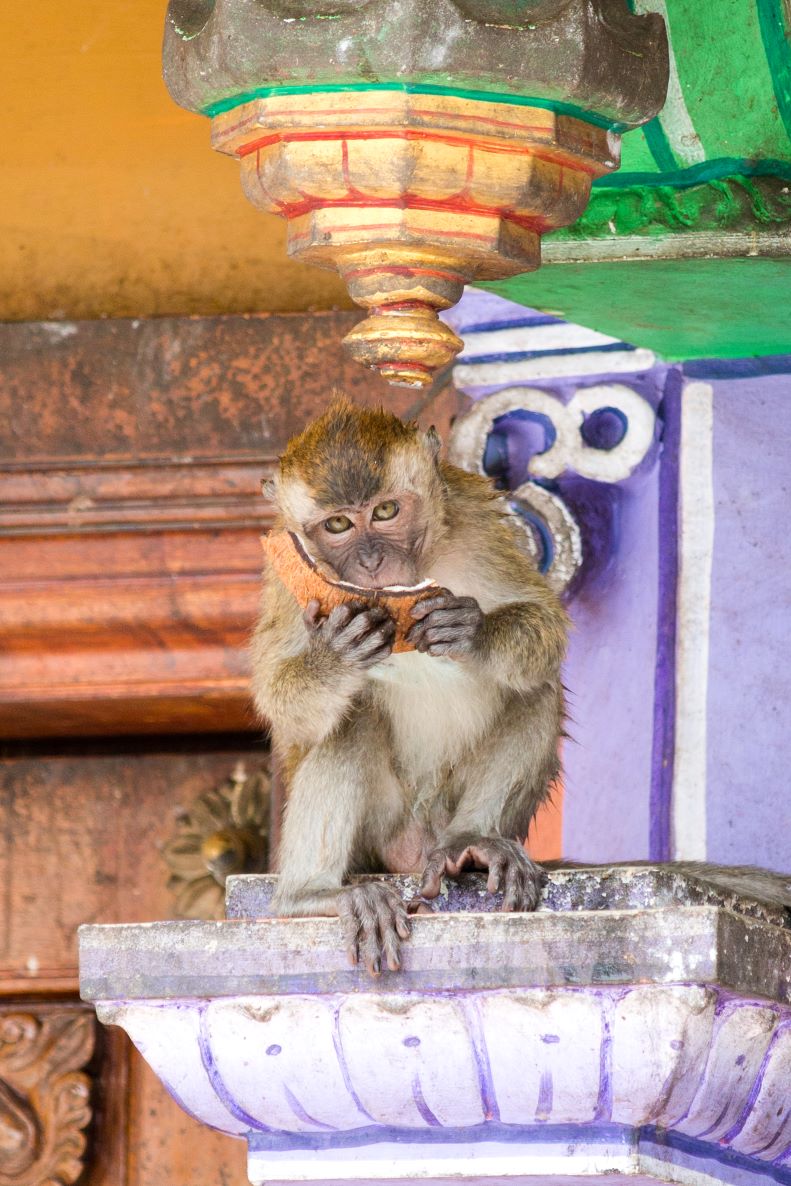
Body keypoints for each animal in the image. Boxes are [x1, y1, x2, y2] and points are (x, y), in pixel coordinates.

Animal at [251, 397, 569, 975]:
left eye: (385, 513)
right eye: (337, 524)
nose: (373, 561)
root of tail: (415, 848)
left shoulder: (476, 516)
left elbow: (545, 621)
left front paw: (470, 631)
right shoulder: (286, 574)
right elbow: (278, 692)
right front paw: (338, 652)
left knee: (534, 685)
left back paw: (474, 841)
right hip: (382, 830)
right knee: (351, 716)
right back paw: (313, 894)